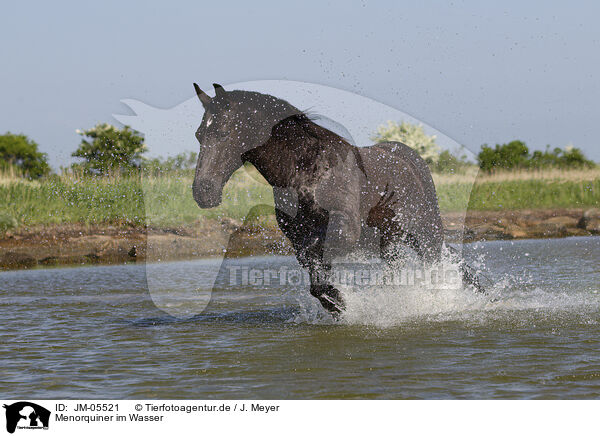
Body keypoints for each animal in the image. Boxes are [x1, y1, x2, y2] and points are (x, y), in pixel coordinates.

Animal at [195, 83, 486, 316]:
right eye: (199, 134)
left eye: (223, 132)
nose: (202, 191)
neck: (307, 169)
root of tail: (411, 160)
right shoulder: (297, 237)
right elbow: (315, 276)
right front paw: (337, 305)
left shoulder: (345, 228)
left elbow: (318, 254)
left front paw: (341, 302)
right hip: (391, 238)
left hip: (424, 234)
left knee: (437, 266)